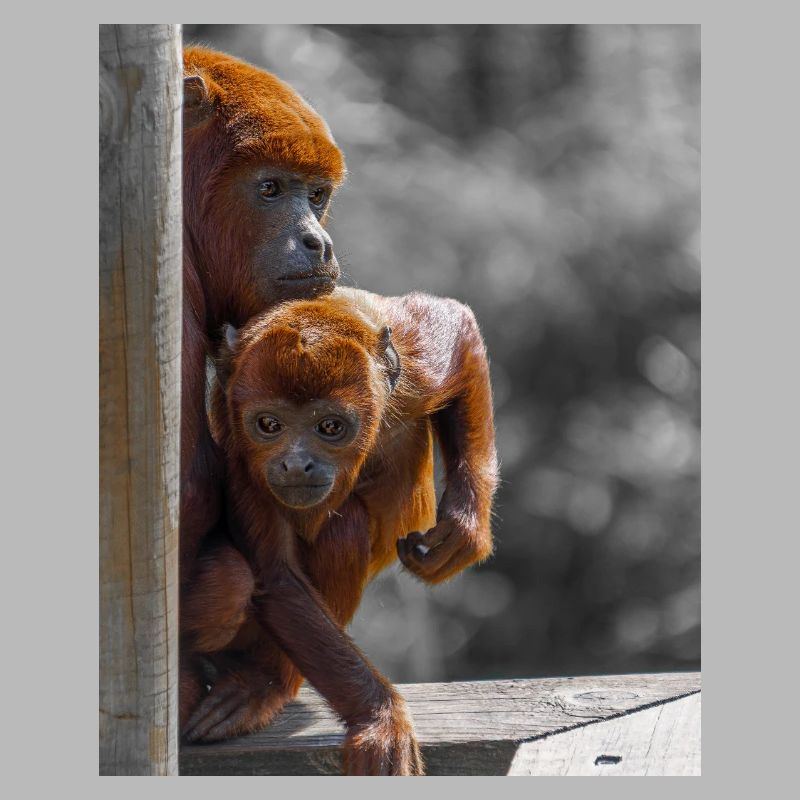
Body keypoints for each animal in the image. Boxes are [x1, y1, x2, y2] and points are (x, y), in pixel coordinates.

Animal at [180, 287, 498, 775]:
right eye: (268, 425)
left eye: (330, 426)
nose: (296, 464)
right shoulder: (240, 452)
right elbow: (276, 576)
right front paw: (379, 717)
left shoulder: (416, 361)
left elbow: (459, 328)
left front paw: (466, 527)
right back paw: (263, 685)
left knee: (342, 529)